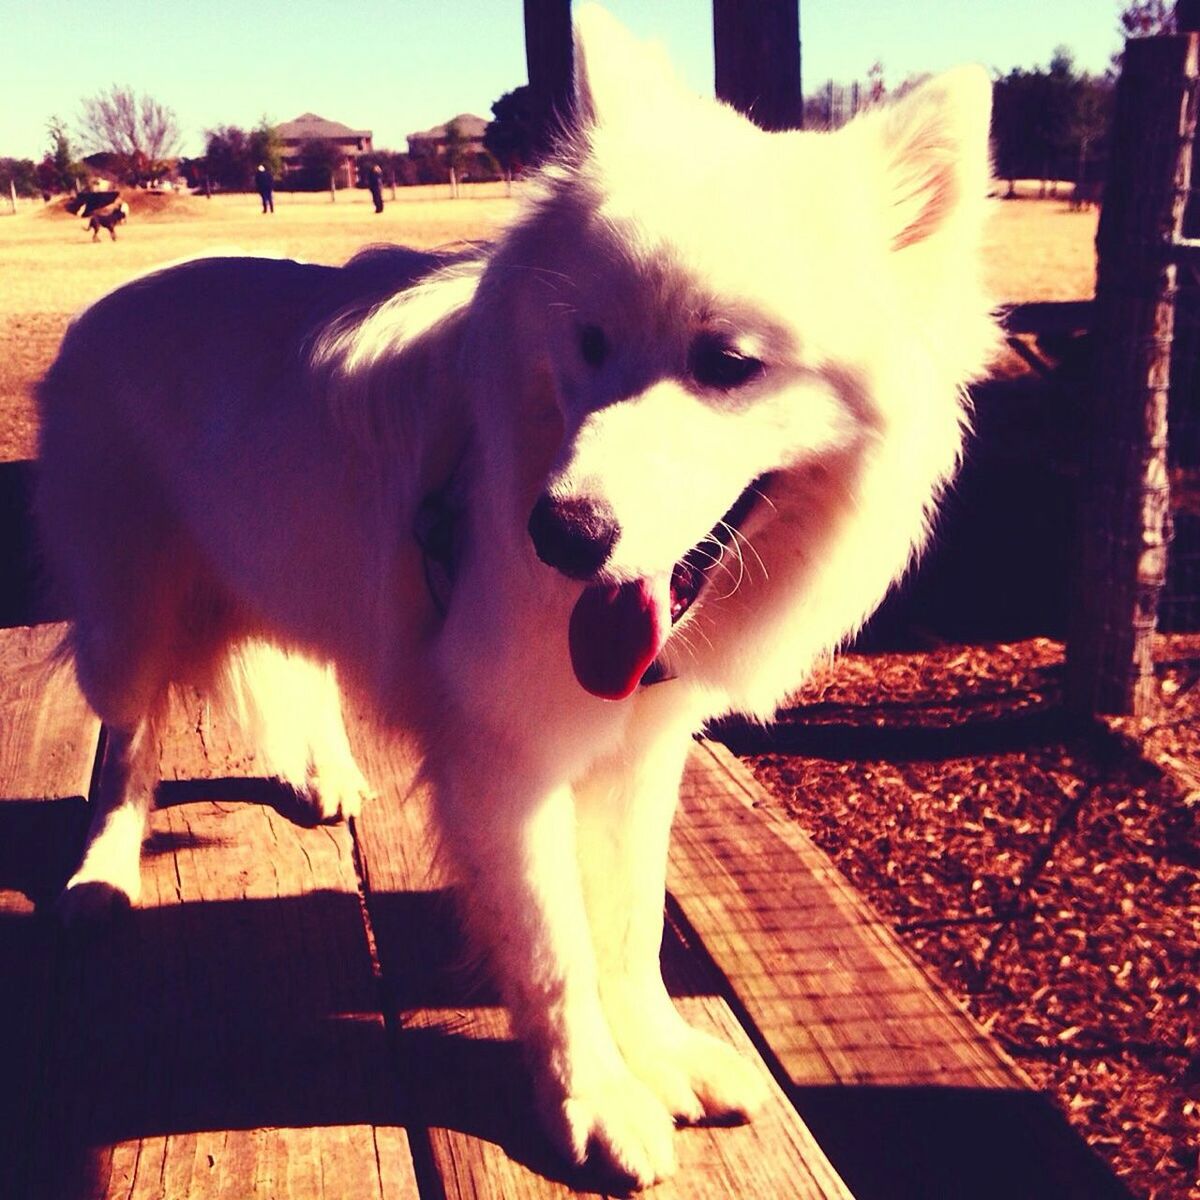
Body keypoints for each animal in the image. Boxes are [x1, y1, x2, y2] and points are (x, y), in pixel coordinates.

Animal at [35, 7, 993, 1190]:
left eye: (726, 364)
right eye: (588, 344)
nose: (559, 534)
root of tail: (105, 304)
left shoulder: (638, 756)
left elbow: (629, 929)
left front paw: (662, 1058)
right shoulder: (509, 770)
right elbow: (555, 956)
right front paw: (596, 1105)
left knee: (295, 669)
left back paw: (323, 775)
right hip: (129, 623)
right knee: (126, 745)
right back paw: (104, 873)